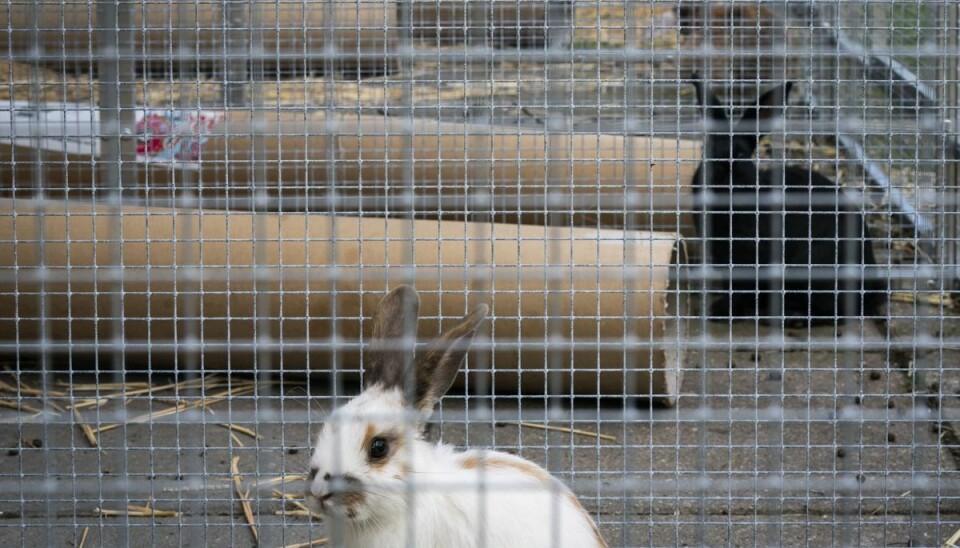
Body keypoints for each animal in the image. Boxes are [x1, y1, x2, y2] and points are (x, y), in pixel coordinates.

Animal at [688, 77, 884, 326]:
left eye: (740, 155)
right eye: (708, 150)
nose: (719, 172)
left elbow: (743, 289)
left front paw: (721, 312)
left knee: (835, 313)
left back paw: (790, 317)